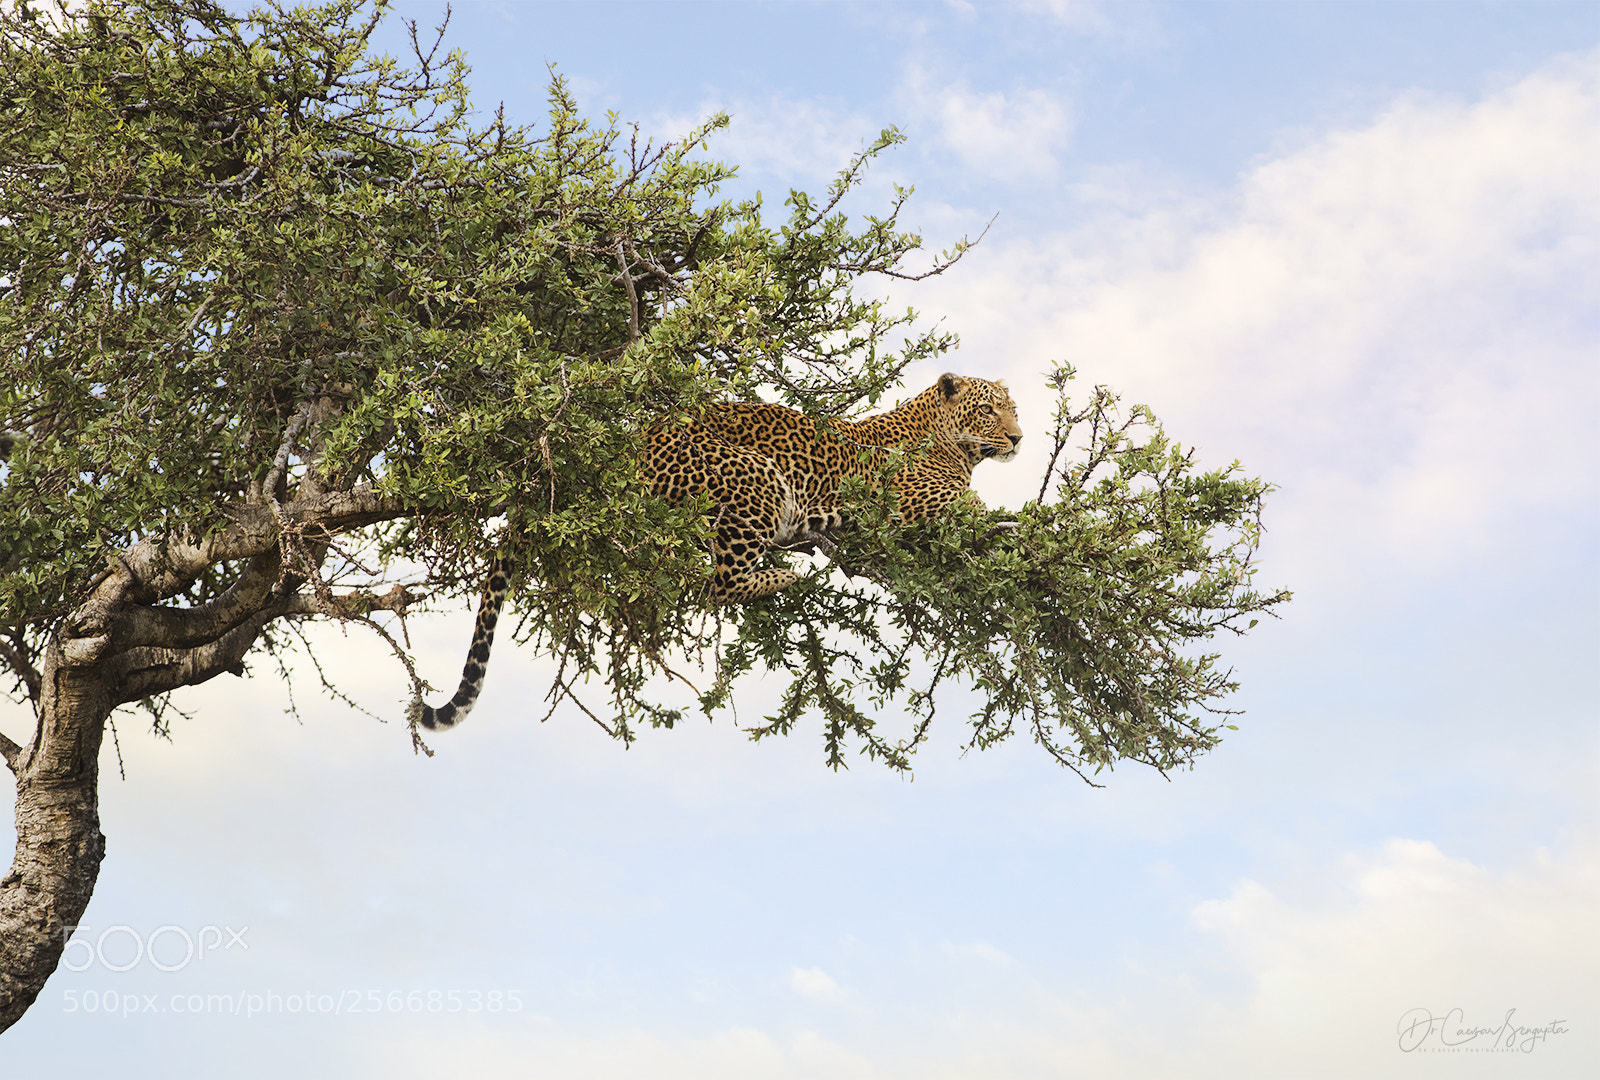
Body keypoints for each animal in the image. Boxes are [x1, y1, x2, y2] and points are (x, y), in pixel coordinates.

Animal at [410, 373, 1021, 731]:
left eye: (1015, 407)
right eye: (991, 410)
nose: (1019, 438)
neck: (954, 444)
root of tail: (635, 441)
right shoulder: (923, 502)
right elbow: (998, 518)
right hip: (759, 479)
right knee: (720, 582)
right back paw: (788, 573)